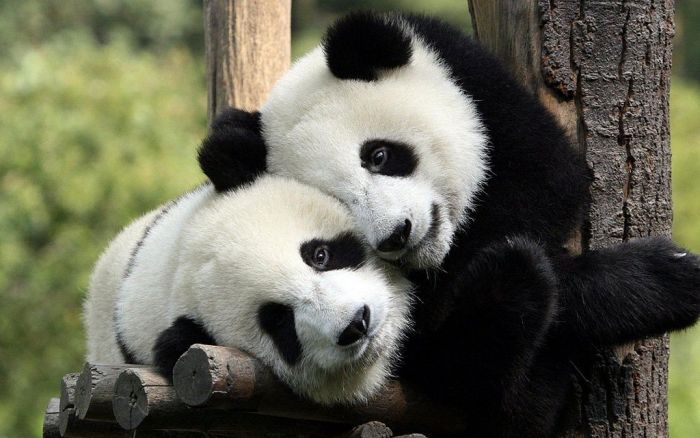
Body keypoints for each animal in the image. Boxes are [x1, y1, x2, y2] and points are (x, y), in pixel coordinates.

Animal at [197, 11, 700, 437]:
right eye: (340, 203)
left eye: (379, 156)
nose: (396, 235)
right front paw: (663, 277)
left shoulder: (479, 89)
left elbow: (550, 183)